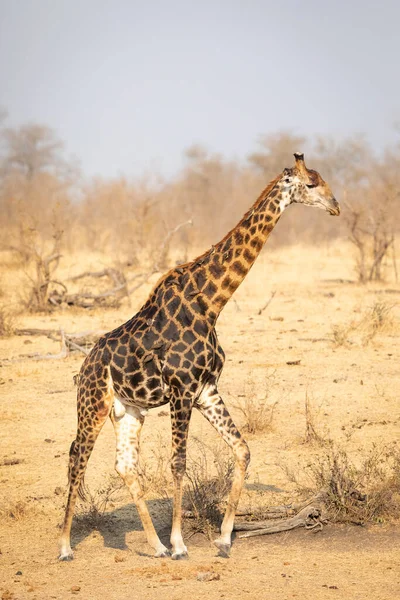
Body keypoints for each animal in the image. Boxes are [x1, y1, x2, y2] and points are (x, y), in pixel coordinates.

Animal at [58, 152, 340, 560]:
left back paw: (155, 546)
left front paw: (222, 540)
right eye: (312, 183)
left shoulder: (206, 389)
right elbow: (179, 463)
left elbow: (242, 450)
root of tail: (85, 364)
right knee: (77, 455)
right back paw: (66, 546)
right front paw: (180, 545)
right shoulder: (182, 390)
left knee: (124, 465)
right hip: (93, 403)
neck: (211, 303)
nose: (336, 206)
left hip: (129, 410)